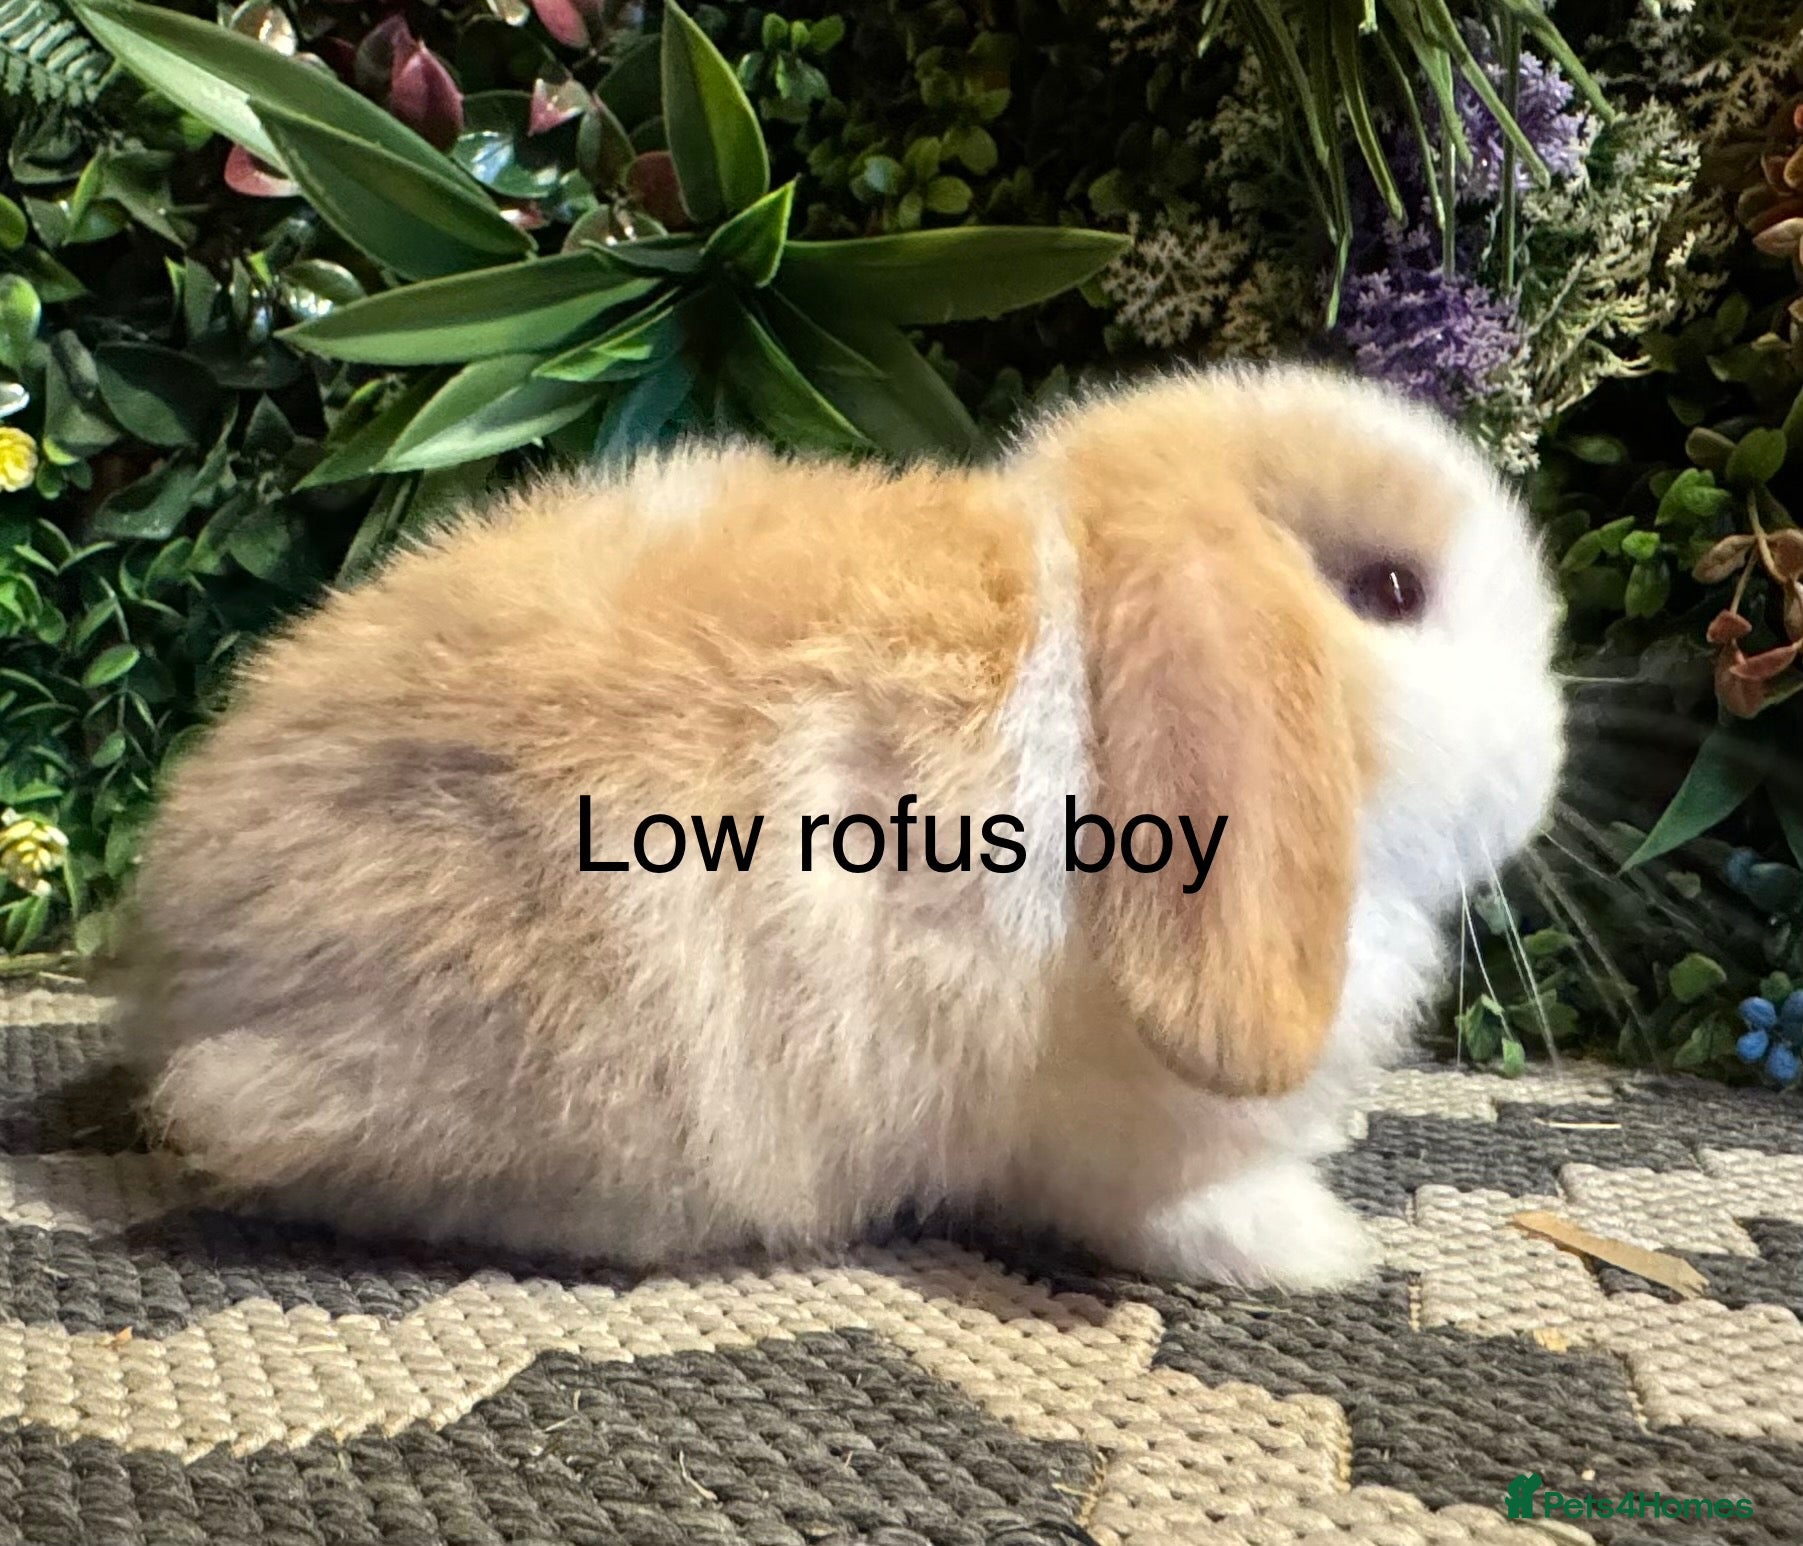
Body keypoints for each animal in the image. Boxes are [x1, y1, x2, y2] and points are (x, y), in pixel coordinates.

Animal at [106, 362, 1565, 1291]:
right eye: (1389, 589)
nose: (1545, 760)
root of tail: (180, 978)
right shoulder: (1128, 1139)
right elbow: (1169, 1204)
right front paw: (1315, 1249)